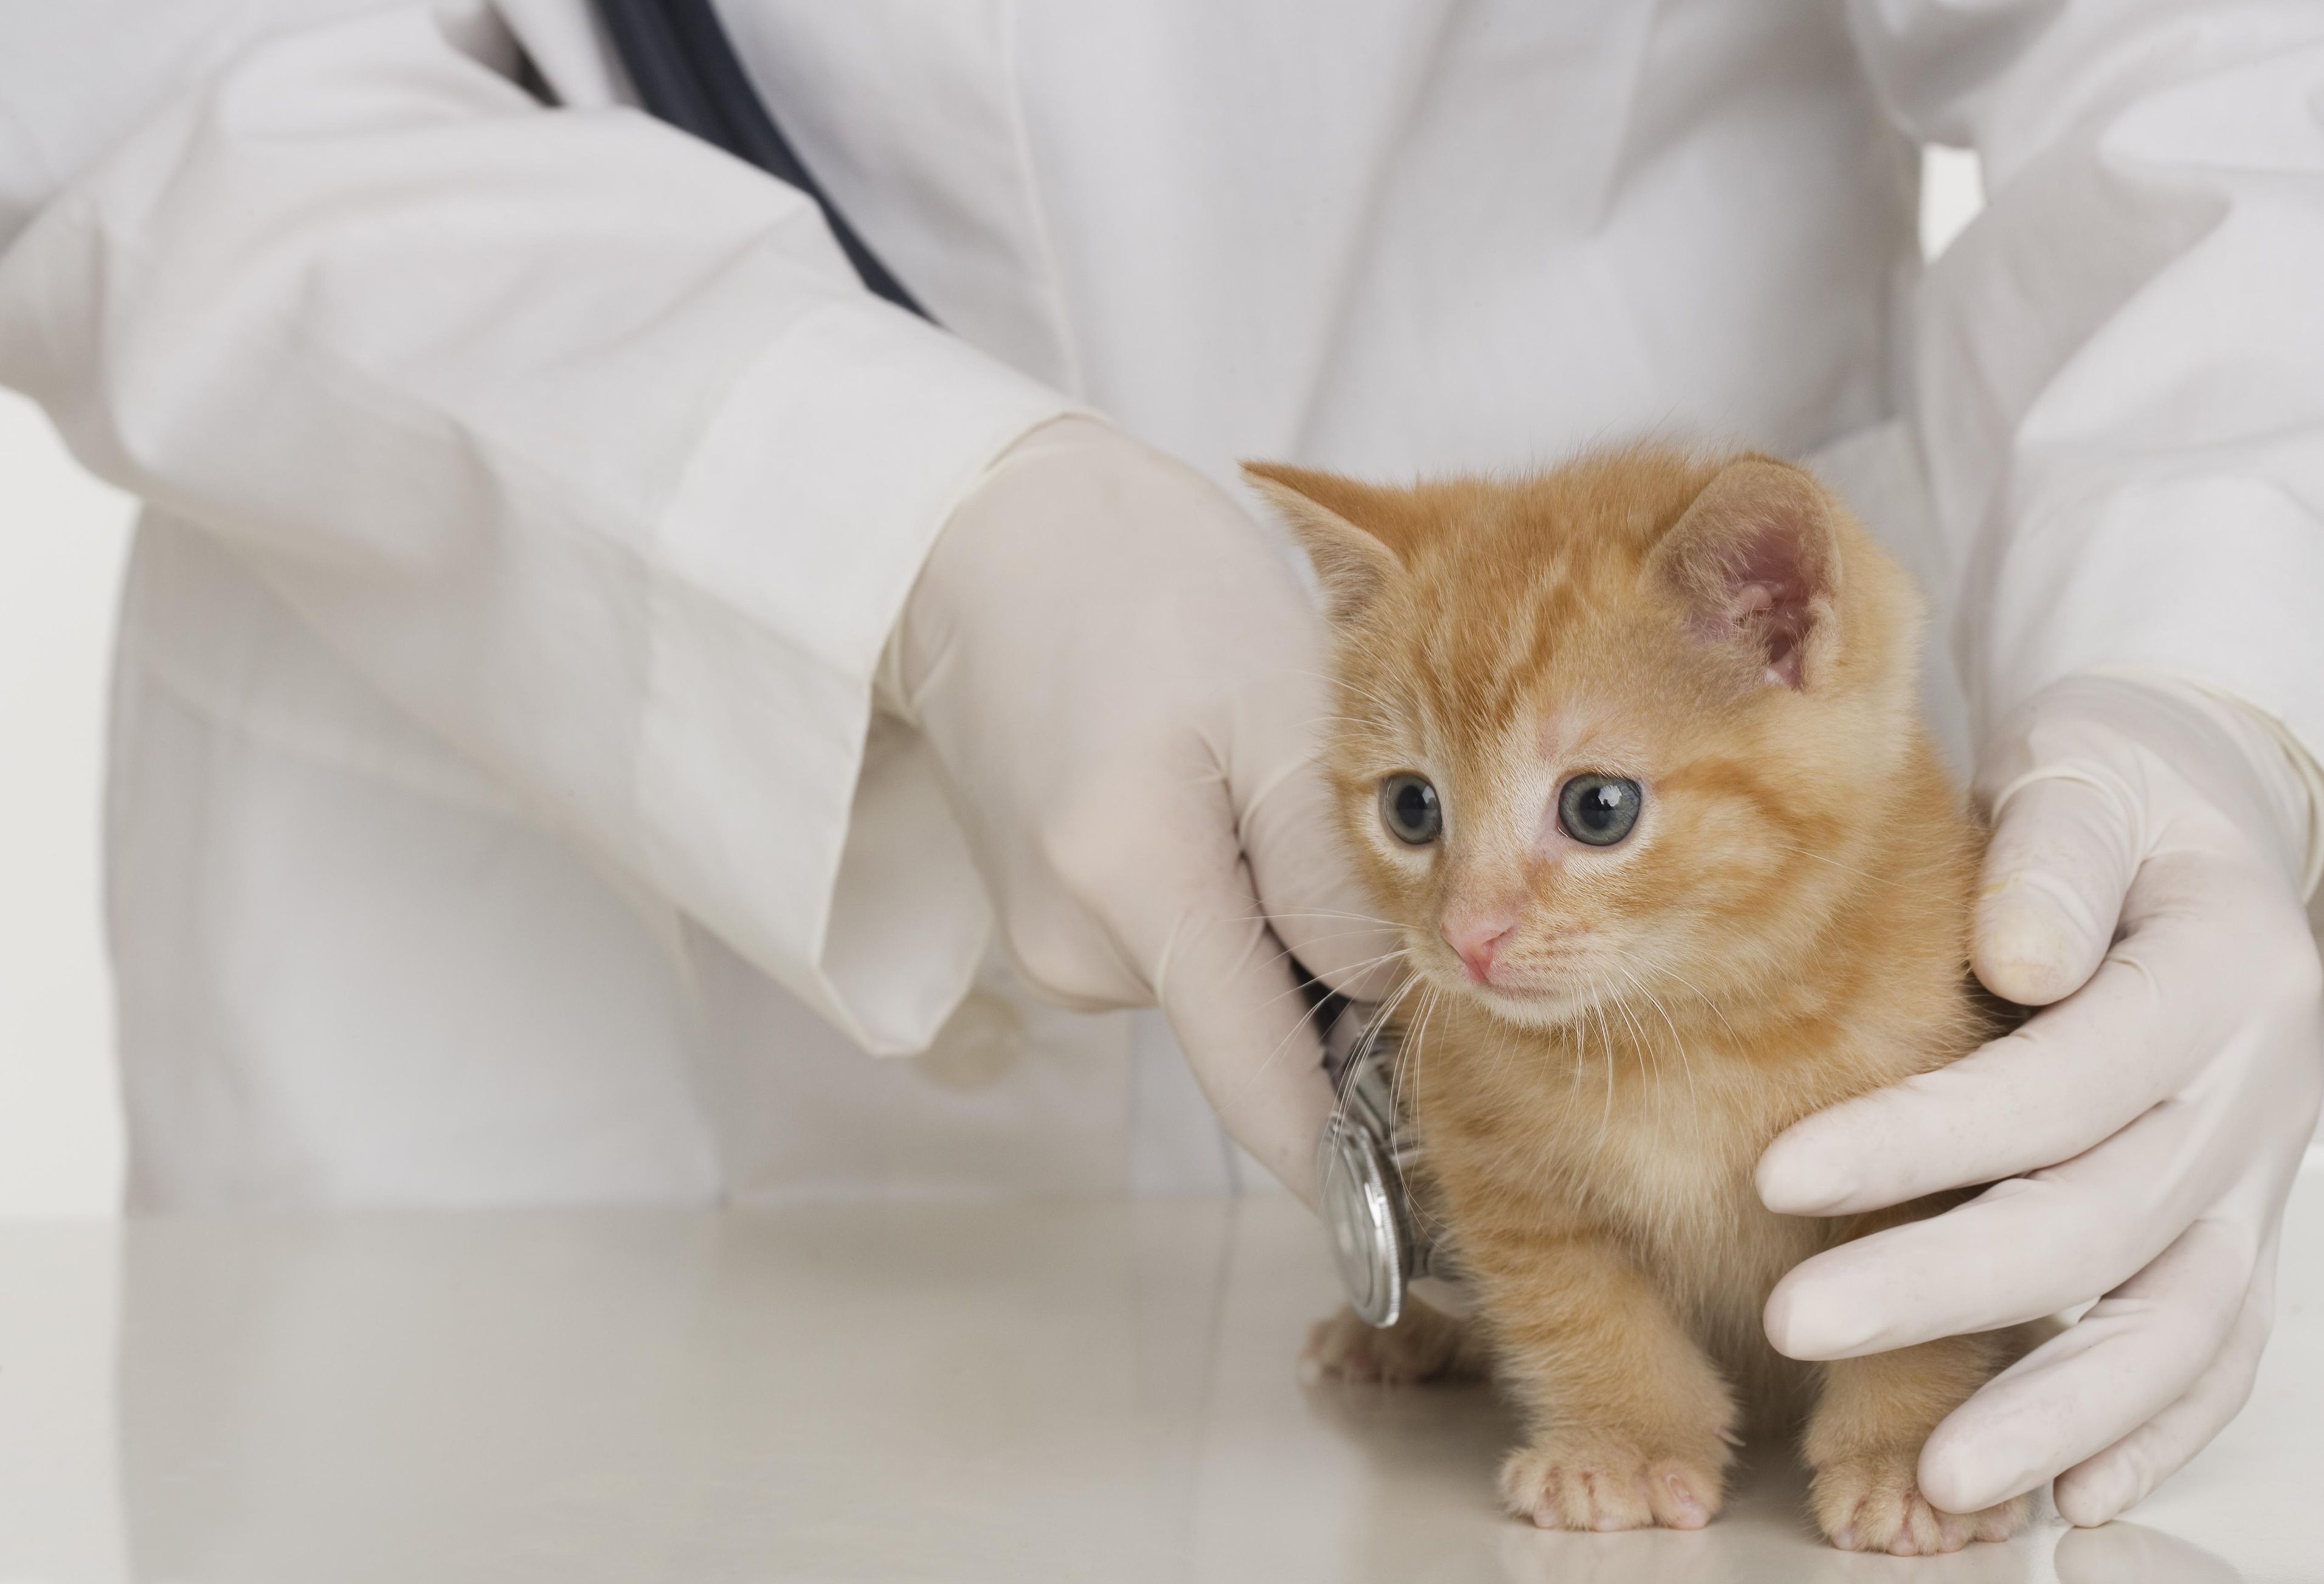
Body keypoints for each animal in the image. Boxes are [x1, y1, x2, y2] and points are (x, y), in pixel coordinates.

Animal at [1254, 443, 2036, 1551]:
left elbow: (1923, 1298)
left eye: (1598, 808)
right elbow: (1578, 1307)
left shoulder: (1926, 1142)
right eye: (1411, 807)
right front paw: (1620, 1448)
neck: (1687, 1029)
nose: (1466, 936)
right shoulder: (1496, 1168)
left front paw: (1903, 1460)